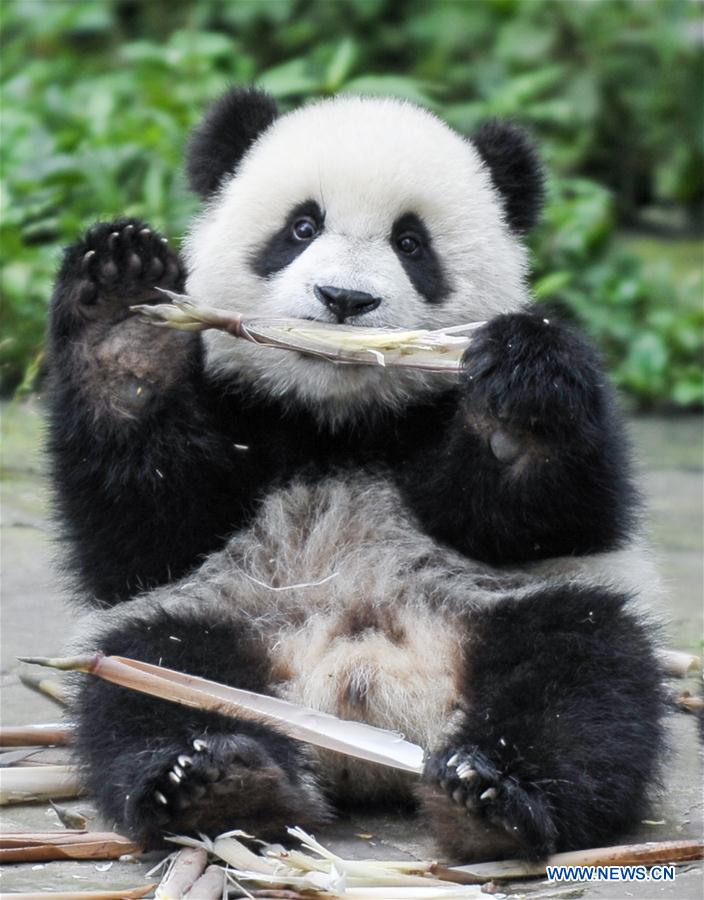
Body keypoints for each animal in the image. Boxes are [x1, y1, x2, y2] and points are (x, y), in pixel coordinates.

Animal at [47, 88, 667, 861]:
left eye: (411, 243)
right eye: (301, 226)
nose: (344, 300)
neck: (338, 419)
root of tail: (363, 704)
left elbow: (544, 519)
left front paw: (517, 401)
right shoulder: (239, 420)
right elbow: (146, 533)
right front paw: (124, 321)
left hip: (505, 609)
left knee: (585, 676)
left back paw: (492, 795)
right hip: (217, 618)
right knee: (152, 681)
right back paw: (217, 782)